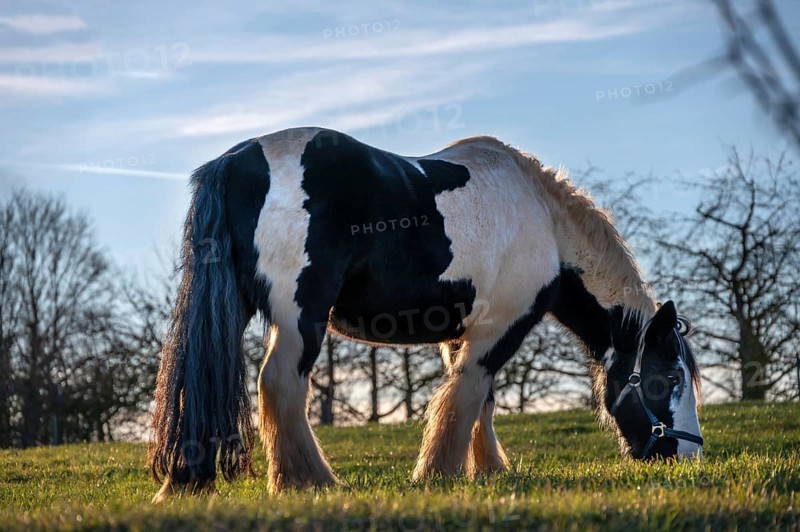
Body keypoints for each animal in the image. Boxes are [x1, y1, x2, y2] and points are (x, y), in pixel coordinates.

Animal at [148, 127, 704, 502]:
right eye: (671, 376)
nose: (688, 456)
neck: (544, 220)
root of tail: (237, 161)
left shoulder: (462, 332)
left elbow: (479, 400)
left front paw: (488, 471)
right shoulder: (502, 326)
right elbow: (467, 395)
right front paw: (441, 472)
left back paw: (187, 482)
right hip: (301, 317)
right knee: (281, 384)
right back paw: (310, 481)